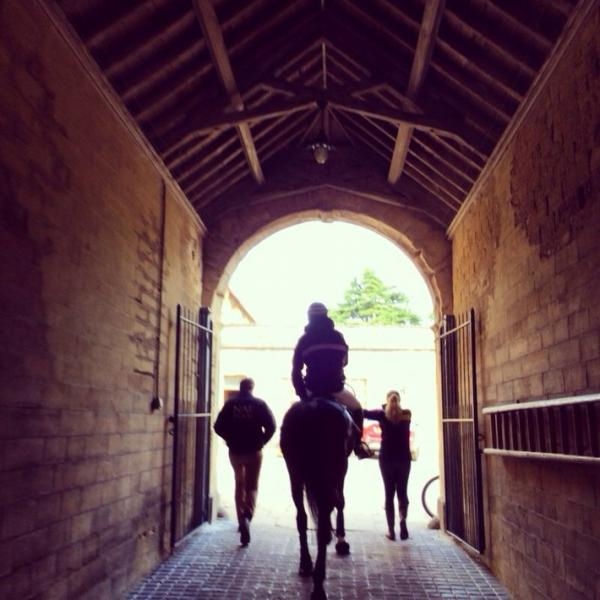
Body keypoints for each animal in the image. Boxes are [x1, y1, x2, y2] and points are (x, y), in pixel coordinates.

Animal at [278, 398, 354, 600]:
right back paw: (318, 585)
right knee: (326, 515)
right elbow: (340, 502)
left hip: (295, 474)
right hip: (330, 472)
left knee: (302, 518)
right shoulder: (341, 472)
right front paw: (341, 541)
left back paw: (306, 563)